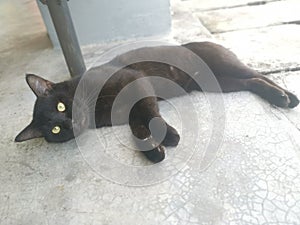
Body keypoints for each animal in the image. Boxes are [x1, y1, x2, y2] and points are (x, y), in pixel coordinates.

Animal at [15, 41, 298, 163]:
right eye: (55, 130)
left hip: (225, 67)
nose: (69, 122)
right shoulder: (129, 111)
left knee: (259, 74)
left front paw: (167, 135)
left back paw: (287, 97)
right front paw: (154, 149)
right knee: (253, 81)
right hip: (222, 82)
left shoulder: (137, 83)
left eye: (61, 106)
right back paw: (282, 98)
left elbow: (149, 114)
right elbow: (137, 126)